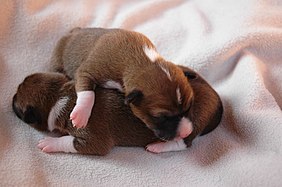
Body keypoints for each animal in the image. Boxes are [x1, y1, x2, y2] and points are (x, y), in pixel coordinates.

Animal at [12, 65, 223, 154]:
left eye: (18, 108)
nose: (11, 98)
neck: (61, 96)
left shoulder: (92, 138)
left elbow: (69, 142)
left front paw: (50, 143)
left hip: (192, 124)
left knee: (184, 143)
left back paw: (158, 147)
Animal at [51, 27, 194, 142]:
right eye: (162, 117)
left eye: (189, 107)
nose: (186, 133)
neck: (144, 60)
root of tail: (73, 31)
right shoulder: (87, 71)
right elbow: (88, 93)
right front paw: (80, 115)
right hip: (58, 59)